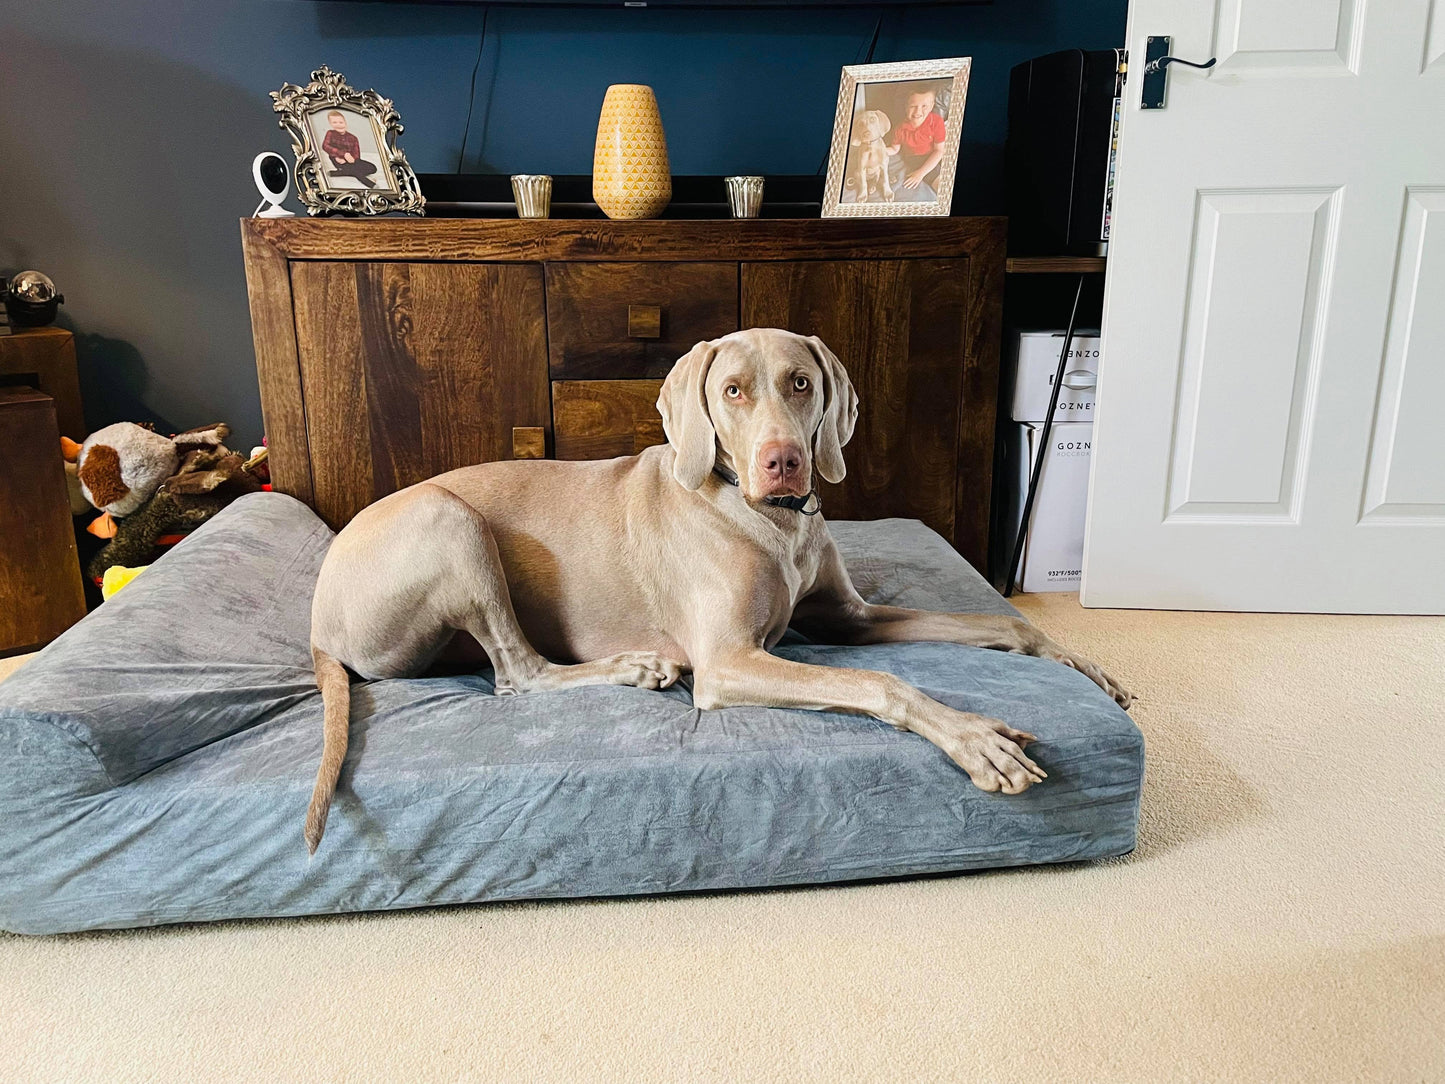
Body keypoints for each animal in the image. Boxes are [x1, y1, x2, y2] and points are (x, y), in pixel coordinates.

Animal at [307, 326, 1127, 855]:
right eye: (732, 391)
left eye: (801, 383)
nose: (784, 462)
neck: (775, 523)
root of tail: (316, 620)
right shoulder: (729, 661)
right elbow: (879, 683)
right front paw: (976, 740)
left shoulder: (849, 618)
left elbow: (999, 624)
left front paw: (1080, 662)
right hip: (450, 520)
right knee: (518, 674)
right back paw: (637, 666)